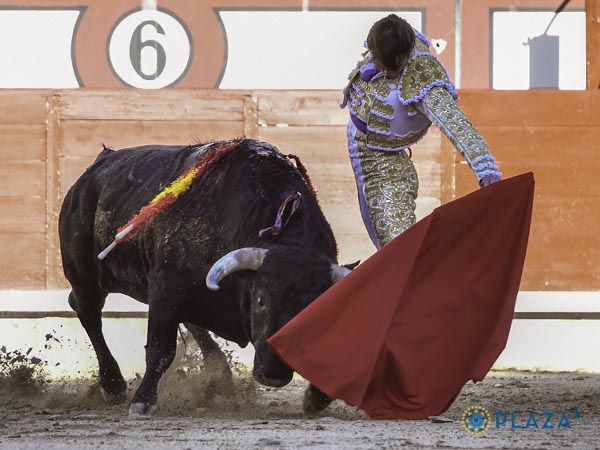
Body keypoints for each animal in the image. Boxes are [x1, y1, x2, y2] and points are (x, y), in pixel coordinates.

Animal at [58, 139, 350, 416]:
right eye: (260, 301)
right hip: (84, 274)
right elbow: (161, 349)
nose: (274, 375)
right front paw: (142, 402)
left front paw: (317, 397)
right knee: (86, 310)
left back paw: (220, 376)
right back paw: (113, 386)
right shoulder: (165, 288)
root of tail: (100, 163)